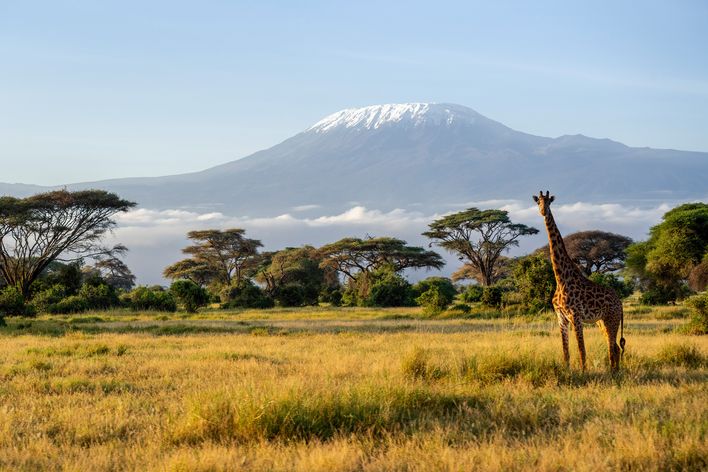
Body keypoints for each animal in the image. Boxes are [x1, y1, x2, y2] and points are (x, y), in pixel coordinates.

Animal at [533, 191, 625, 371]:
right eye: (538, 202)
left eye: (549, 202)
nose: (543, 211)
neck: (561, 279)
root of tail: (620, 302)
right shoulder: (561, 318)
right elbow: (566, 352)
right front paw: (568, 371)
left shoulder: (575, 316)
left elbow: (582, 350)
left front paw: (583, 373)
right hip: (601, 321)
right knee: (615, 347)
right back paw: (616, 371)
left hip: (611, 319)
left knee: (613, 347)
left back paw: (614, 372)